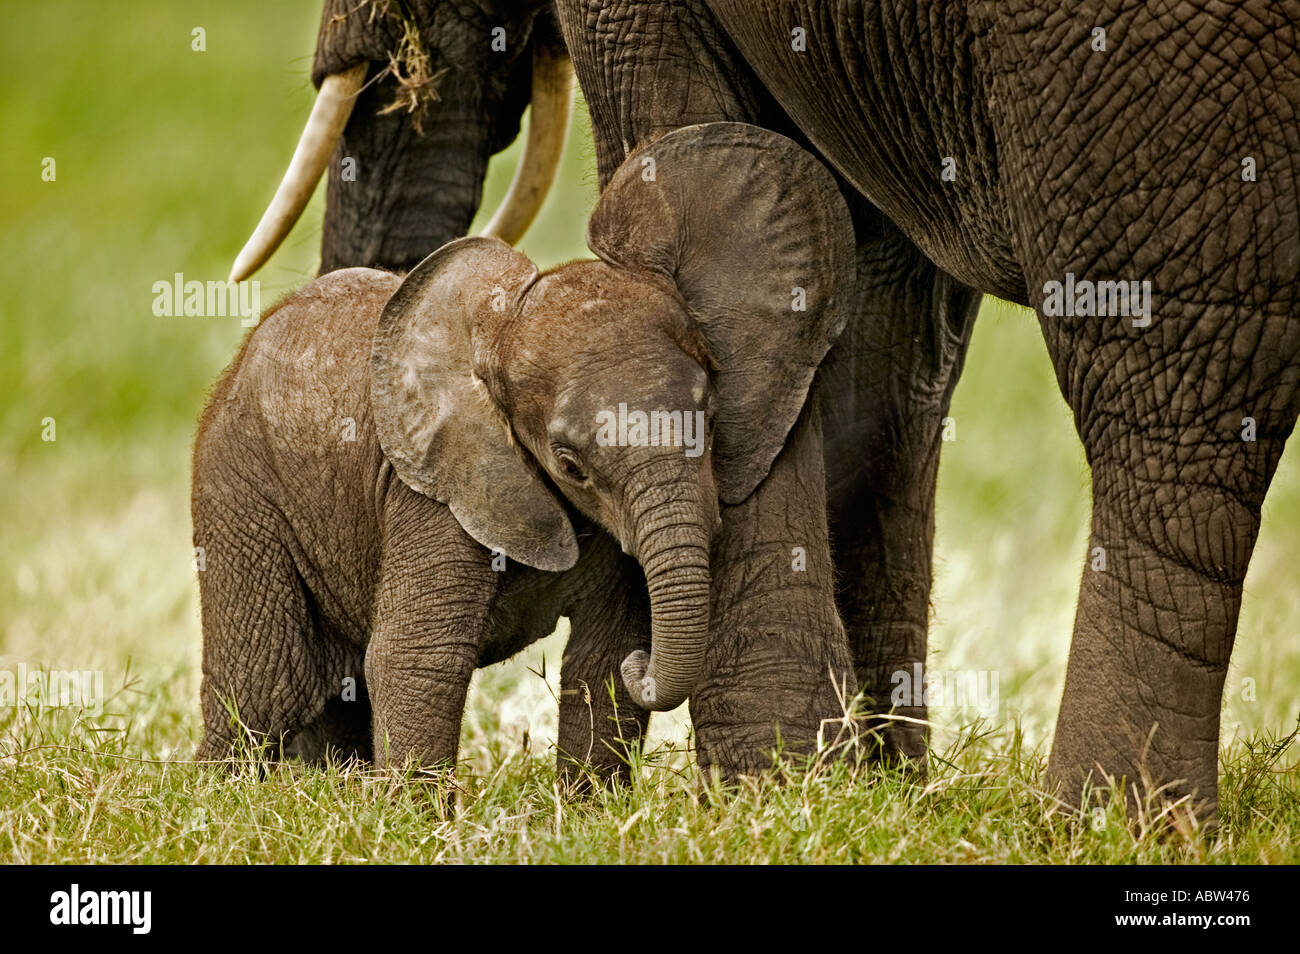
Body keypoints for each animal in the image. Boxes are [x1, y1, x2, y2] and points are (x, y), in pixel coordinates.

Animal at [189, 123, 852, 779]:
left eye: (710, 422)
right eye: (569, 465)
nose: (647, 666)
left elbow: (602, 656)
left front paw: (589, 803)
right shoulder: (437, 491)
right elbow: (418, 656)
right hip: (239, 493)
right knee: (264, 686)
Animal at [559, 1, 1300, 821]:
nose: (642, 665)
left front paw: (779, 795)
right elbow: (888, 340)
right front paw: (873, 786)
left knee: (1170, 367)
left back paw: (1109, 819)